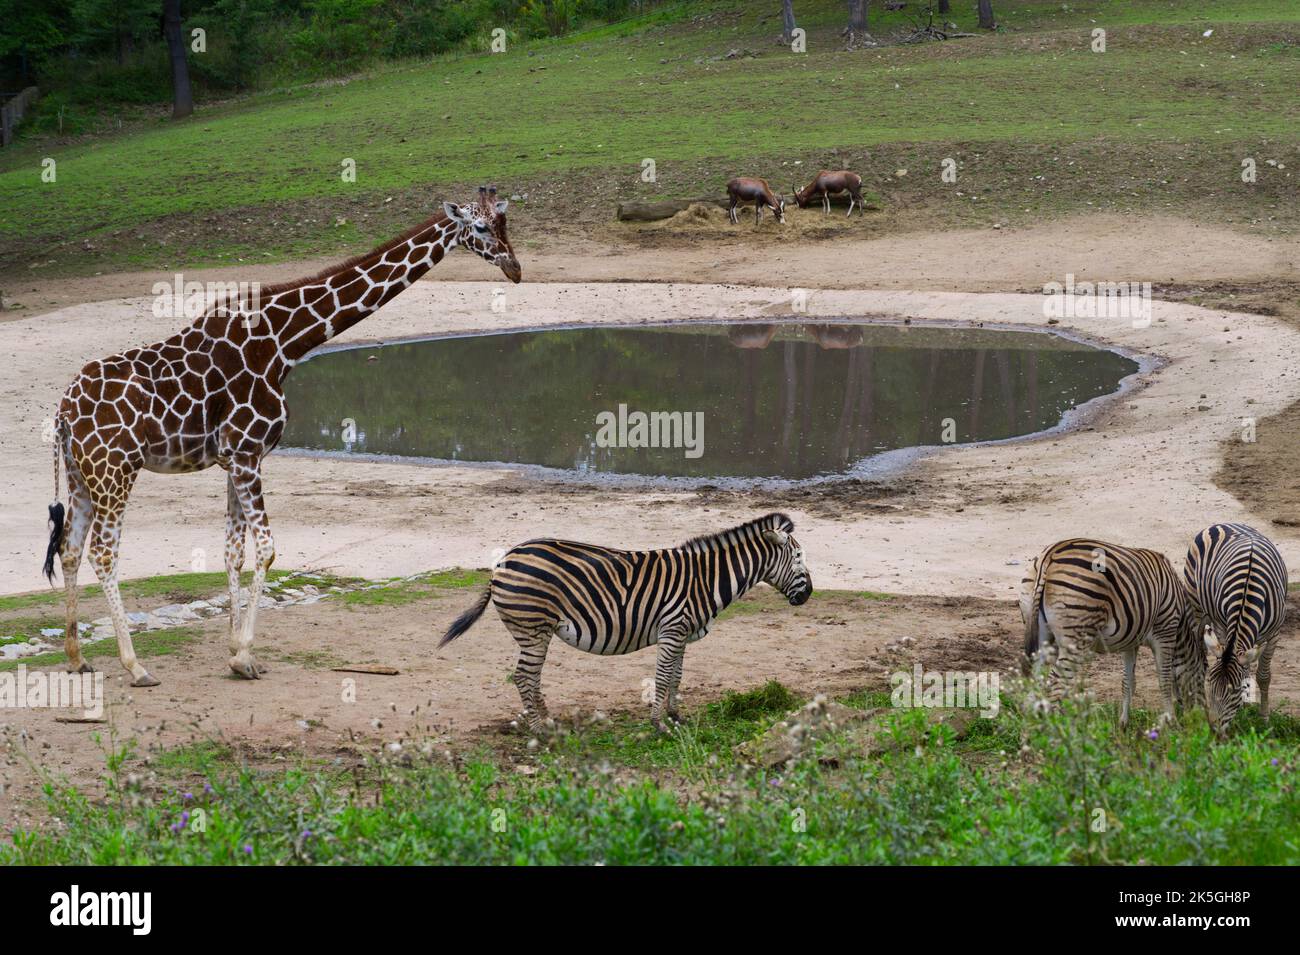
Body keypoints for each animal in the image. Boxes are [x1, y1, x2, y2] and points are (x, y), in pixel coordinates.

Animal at [42, 187, 521, 686]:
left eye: (507, 224)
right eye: (481, 227)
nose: (515, 269)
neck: (281, 344)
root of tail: (62, 411)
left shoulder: (233, 459)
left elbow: (233, 552)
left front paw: (234, 651)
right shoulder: (248, 454)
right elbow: (268, 551)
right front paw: (244, 656)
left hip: (81, 476)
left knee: (70, 549)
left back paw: (77, 658)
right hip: (115, 471)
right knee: (102, 553)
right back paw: (135, 665)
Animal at [438, 512, 812, 733]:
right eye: (798, 557)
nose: (808, 593)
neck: (705, 579)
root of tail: (503, 561)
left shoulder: (681, 633)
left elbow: (677, 677)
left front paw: (676, 717)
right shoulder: (672, 629)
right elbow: (662, 678)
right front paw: (659, 725)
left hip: (535, 631)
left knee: (531, 678)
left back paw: (547, 720)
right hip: (533, 628)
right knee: (523, 677)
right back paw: (539, 731)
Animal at [1022, 538, 1203, 728]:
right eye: (1202, 678)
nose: (1200, 719)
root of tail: (1051, 553)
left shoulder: (1131, 640)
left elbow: (1128, 682)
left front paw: (1123, 723)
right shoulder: (1165, 631)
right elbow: (1165, 679)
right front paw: (1171, 722)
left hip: (1041, 636)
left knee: (1032, 691)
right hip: (1076, 639)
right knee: (1055, 687)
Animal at [1184, 523, 1288, 736]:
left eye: (1233, 691)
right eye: (1210, 685)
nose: (1214, 732)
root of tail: (1221, 524)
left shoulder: (1274, 634)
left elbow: (1263, 676)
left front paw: (1263, 718)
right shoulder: (1223, 626)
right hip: (1195, 605)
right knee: (1197, 650)